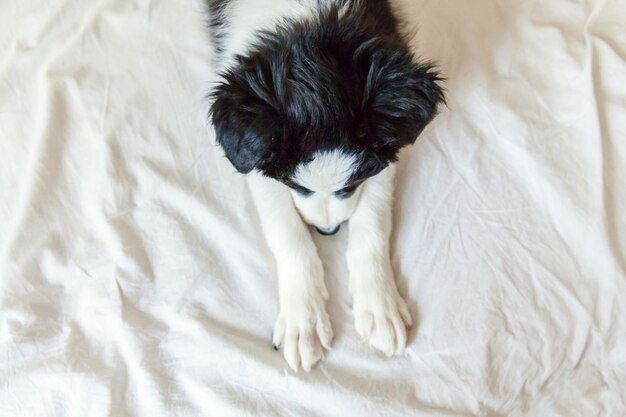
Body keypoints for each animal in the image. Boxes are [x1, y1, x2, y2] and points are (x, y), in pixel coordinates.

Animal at [207, 0, 442, 370]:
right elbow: (287, 232)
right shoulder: (254, 159)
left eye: (353, 183)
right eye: (295, 186)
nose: (327, 231)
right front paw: (303, 322)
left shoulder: (384, 149)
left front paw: (380, 306)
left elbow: (373, 221)